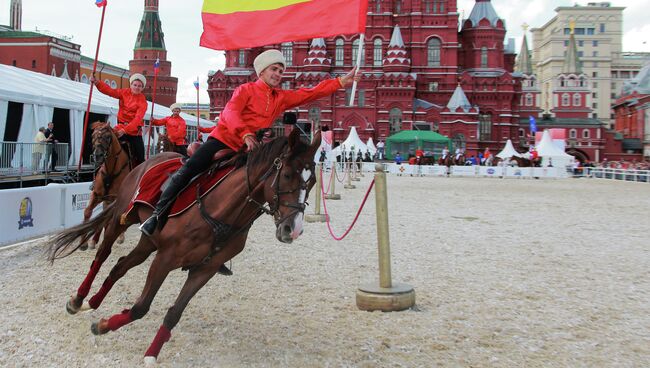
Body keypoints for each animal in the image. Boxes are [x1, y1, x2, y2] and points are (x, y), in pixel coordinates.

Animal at [46, 128, 318, 364]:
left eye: (313, 181)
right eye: (287, 175)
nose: (293, 229)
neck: (222, 211)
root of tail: (148, 162)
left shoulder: (205, 269)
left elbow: (174, 313)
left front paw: (149, 351)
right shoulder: (165, 259)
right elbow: (142, 306)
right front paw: (104, 326)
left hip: (148, 242)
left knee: (119, 267)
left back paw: (93, 302)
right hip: (120, 219)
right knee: (103, 255)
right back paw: (78, 300)